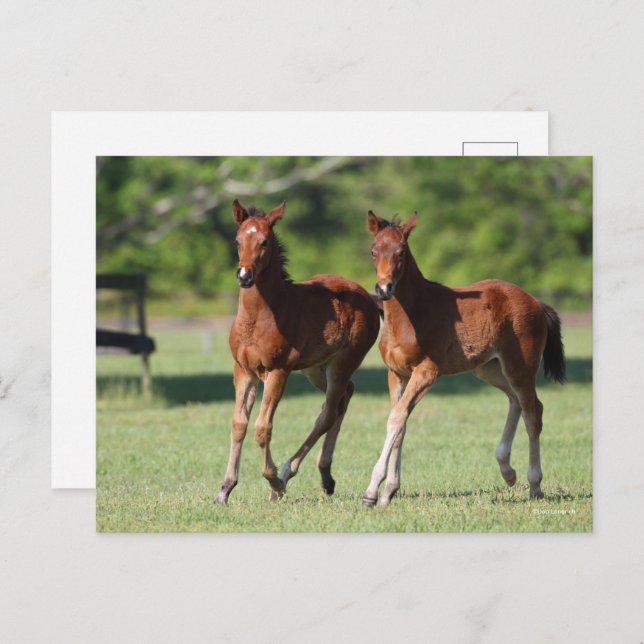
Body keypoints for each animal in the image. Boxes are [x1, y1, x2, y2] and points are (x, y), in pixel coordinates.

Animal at [215, 200, 381, 504]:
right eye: (237, 240)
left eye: (264, 241)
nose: (244, 275)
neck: (261, 317)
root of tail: (368, 297)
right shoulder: (243, 370)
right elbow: (238, 424)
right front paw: (225, 489)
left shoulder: (278, 370)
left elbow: (262, 427)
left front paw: (272, 481)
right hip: (315, 368)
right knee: (343, 399)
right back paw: (325, 476)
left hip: (343, 362)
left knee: (329, 411)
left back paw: (285, 475)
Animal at [362, 210, 566, 507]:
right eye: (374, 250)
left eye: (402, 253)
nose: (384, 288)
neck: (412, 315)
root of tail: (536, 302)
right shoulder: (396, 374)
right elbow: (400, 425)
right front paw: (389, 492)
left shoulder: (427, 371)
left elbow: (397, 419)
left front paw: (372, 492)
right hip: (489, 368)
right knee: (515, 400)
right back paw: (507, 470)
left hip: (521, 367)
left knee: (533, 412)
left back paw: (535, 484)